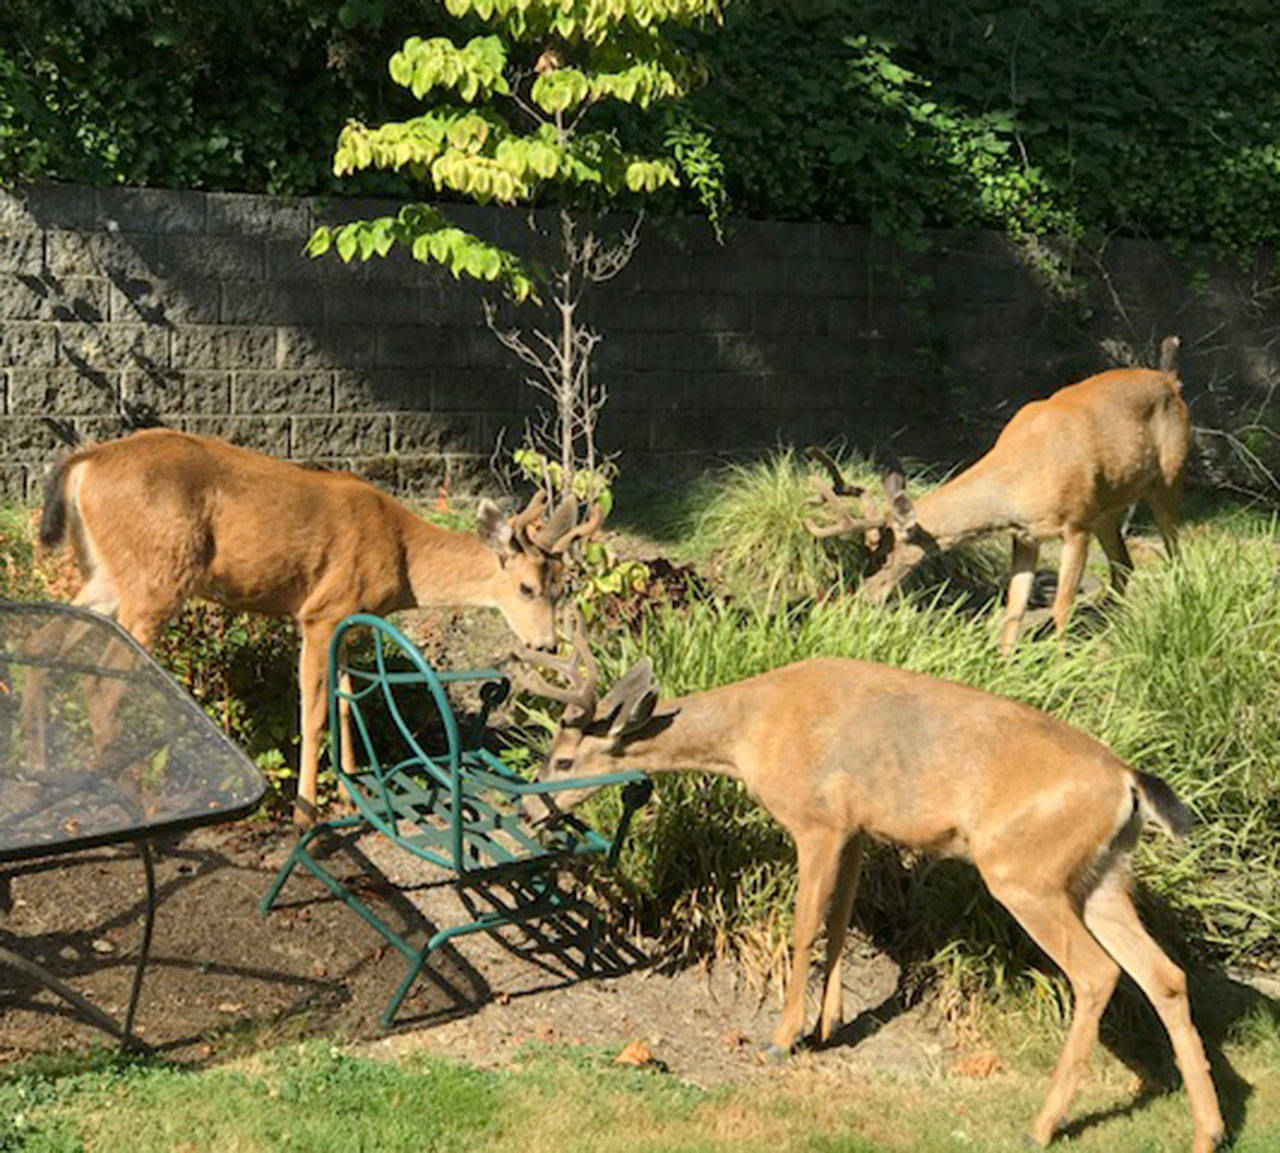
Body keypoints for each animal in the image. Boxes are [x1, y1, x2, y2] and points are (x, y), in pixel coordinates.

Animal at [38, 427, 599, 824]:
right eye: (526, 588)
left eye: (563, 586)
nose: (546, 643)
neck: (402, 558)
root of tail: (84, 464)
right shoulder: (320, 612)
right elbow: (312, 714)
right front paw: (304, 815)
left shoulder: (349, 617)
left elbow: (347, 699)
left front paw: (352, 788)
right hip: (154, 581)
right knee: (103, 684)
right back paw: (135, 793)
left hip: (105, 576)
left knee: (48, 643)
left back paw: (47, 767)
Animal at [514, 621, 1223, 1151]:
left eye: (564, 760)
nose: (525, 807)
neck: (750, 731)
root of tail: (1127, 782)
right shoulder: (858, 829)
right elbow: (839, 922)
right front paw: (830, 1027)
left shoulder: (817, 820)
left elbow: (805, 928)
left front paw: (782, 1038)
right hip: (1101, 877)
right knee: (1165, 975)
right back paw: (1208, 1131)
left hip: (1027, 874)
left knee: (1098, 974)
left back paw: (1043, 1125)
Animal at [808, 337, 1187, 652]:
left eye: (884, 558)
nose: (864, 596)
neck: (1020, 484)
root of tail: (1169, 379)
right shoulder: (1025, 535)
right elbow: (1013, 606)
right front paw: (1004, 663)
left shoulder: (1076, 524)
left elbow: (1061, 606)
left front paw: (1061, 662)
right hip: (1109, 506)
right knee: (1123, 564)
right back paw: (1109, 620)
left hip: (1167, 478)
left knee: (1175, 554)